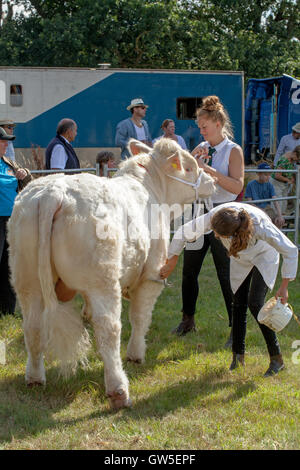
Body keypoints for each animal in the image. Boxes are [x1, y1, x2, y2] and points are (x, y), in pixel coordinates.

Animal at [7, 138, 216, 410]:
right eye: (190, 167)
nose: (212, 180)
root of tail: (53, 191)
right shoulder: (152, 274)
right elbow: (140, 317)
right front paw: (136, 354)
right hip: (103, 281)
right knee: (108, 330)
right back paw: (118, 390)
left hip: (26, 279)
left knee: (32, 327)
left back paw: (34, 377)